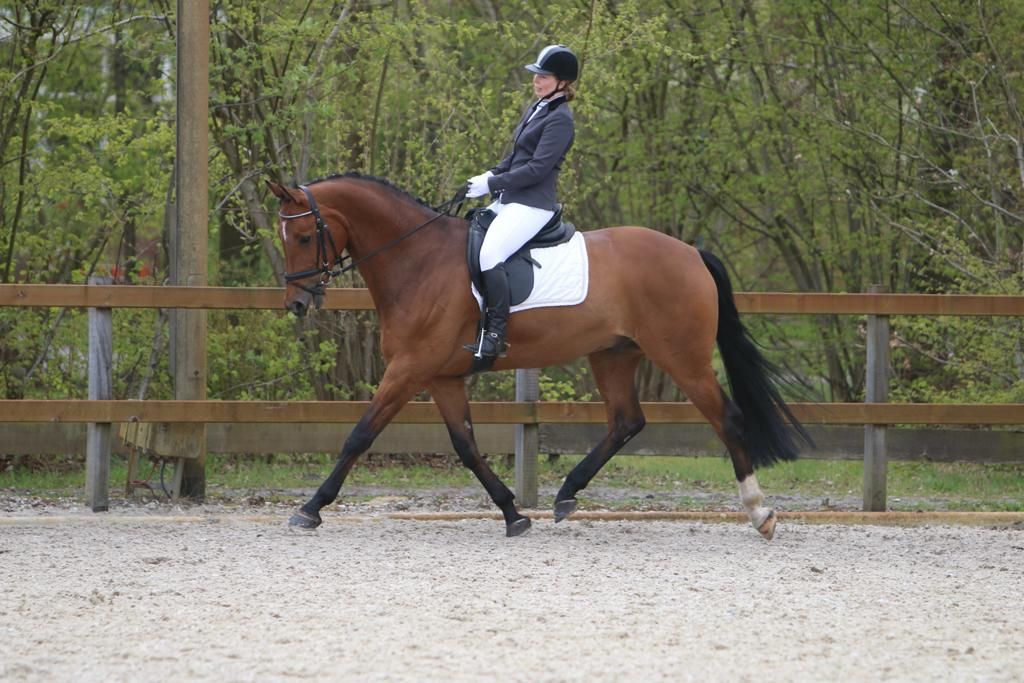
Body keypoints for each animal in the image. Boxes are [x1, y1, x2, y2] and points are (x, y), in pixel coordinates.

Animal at [268, 172, 812, 539]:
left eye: (304, 236)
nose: (297, 303)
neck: (416, 260)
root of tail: (691, 252)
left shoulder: (409, 369)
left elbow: (360, 434)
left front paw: (310, 508)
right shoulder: (442, 377)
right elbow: (466, 446)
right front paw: (513, 513)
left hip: (684, 358)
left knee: (727, 419)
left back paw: (760, 513)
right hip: (614, 355)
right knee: (626, 421)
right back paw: (567, 494)